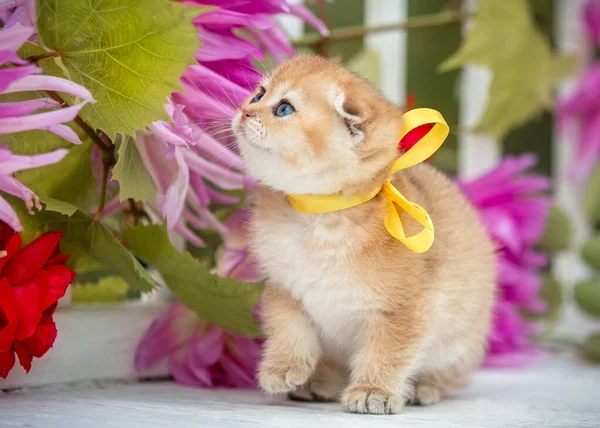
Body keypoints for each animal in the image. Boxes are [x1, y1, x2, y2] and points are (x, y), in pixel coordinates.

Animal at [232, 55, 494, 412]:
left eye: (284, 109)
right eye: (259, 94)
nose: (244, 111)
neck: (322, 219)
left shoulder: (403, 307)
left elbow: (387, 350)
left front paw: (373, 391)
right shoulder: (285, 289)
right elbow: (289, 329)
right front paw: (282, 368)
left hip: (459, 341)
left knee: (447, 373)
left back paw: (424, 388)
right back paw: (319, 384)